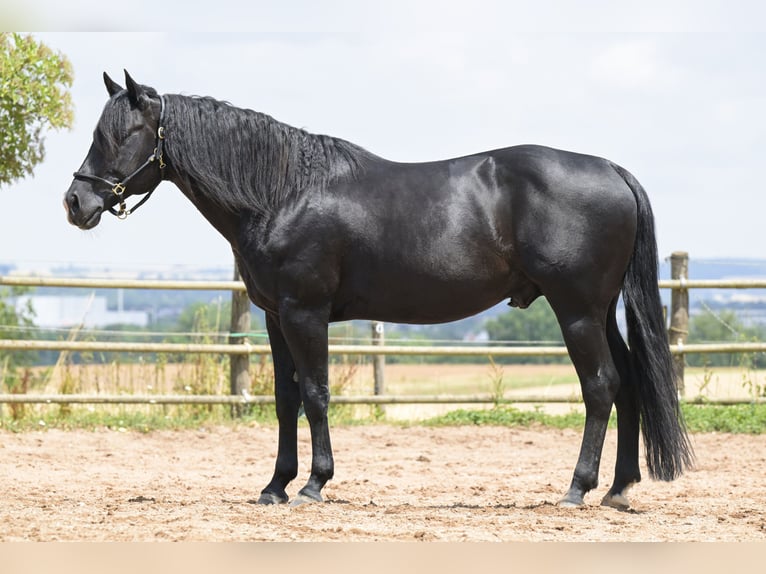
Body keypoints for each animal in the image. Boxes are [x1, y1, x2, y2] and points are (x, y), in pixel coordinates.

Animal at [64, 70, 693, 509]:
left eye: (122, 134)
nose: (76, 202)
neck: (282, 192)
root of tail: (612, 170)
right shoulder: (275, 317)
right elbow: (286, 399)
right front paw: (275, 485)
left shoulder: (306, 313)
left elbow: (316, 394)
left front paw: (314, 484)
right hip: (598, 311)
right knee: (629, 383)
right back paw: (618, 489)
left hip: (577, 310)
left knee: (601, 386)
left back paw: (578, 488)